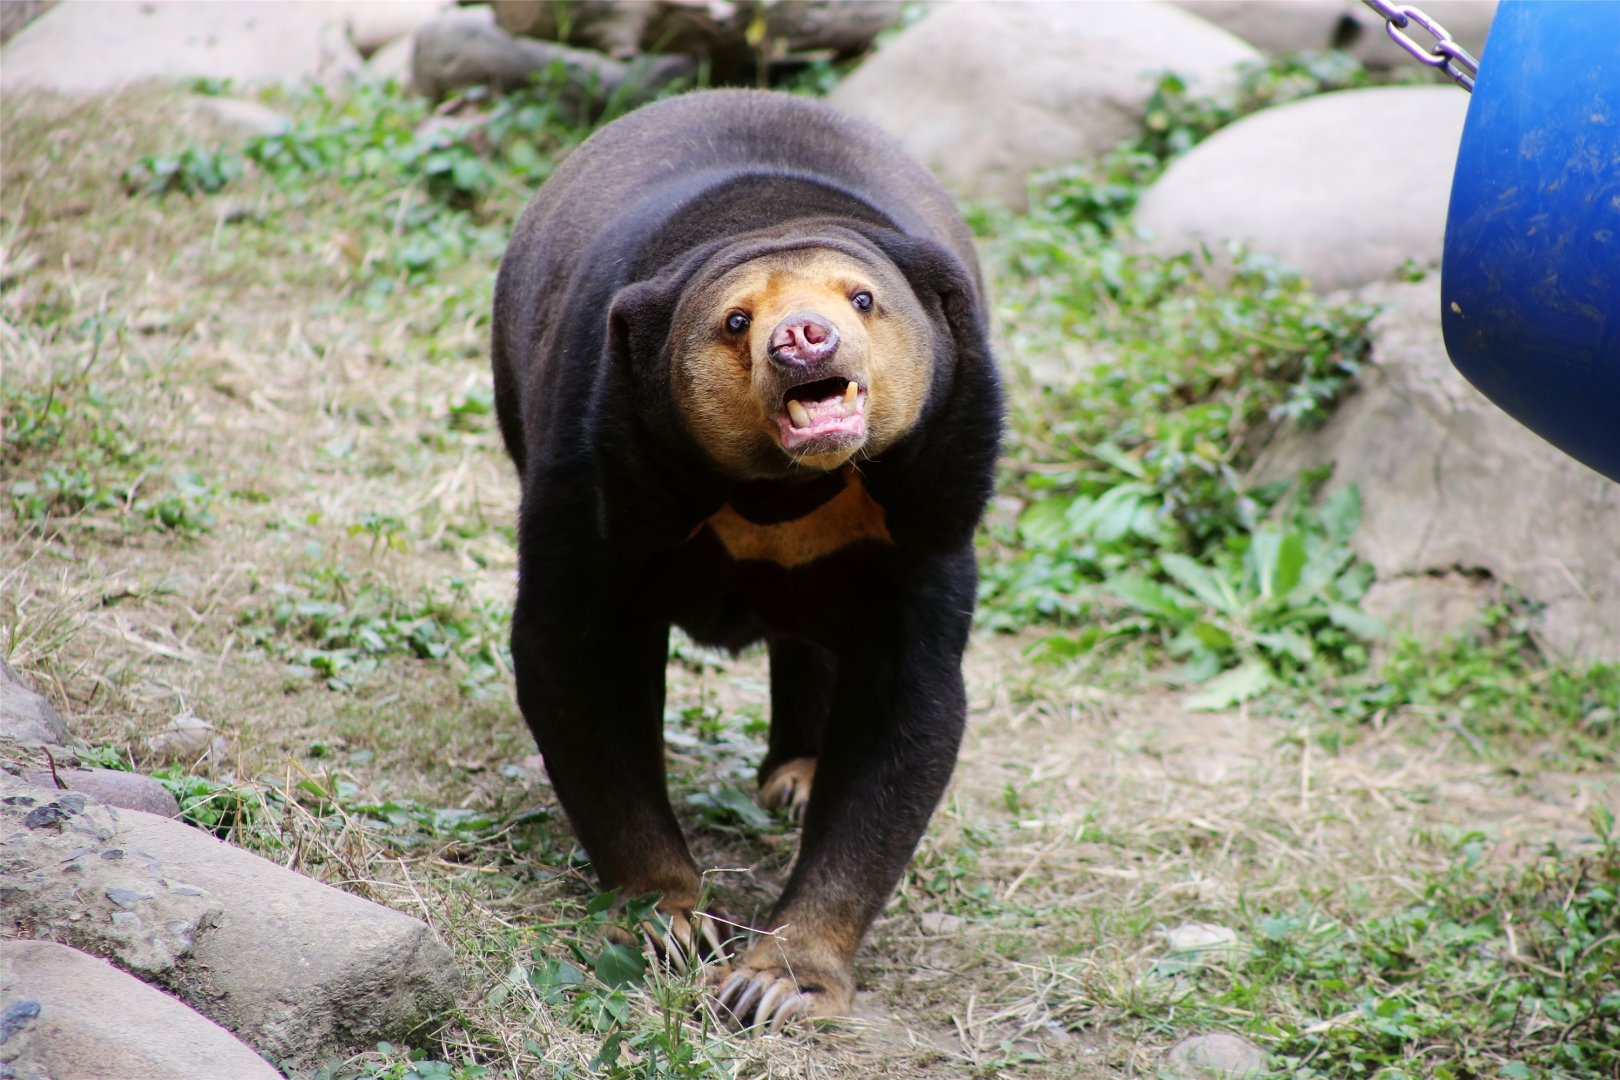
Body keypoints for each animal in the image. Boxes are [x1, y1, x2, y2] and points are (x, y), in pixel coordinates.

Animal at [490, 88, 1002, 1031]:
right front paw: (668, 923)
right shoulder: (603, 465)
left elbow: (908, 703)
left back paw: (796, 777)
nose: (803, 338)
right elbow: (577, 656)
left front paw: (779, 981)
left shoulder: (932, 499)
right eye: (735, 321)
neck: (789, 491)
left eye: (863, 298)